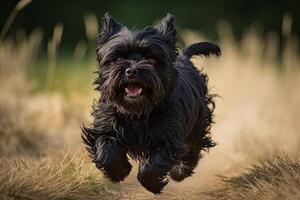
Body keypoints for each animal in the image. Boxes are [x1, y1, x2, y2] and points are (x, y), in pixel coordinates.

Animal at [82, 12, 220, 194]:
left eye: (150, 57)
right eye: (118, 57)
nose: (132, 71)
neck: (137, 112)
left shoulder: (168, 137)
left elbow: (155, 163)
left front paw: (152, 183)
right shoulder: (105, 126)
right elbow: (105, 148)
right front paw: (118, 171)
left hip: (198, 123)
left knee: (193, 148)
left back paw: (180, 172)